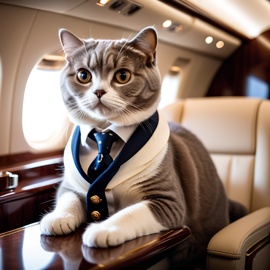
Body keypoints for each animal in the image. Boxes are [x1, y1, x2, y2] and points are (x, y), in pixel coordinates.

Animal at [39, 27, 247, 266]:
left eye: (122, 76)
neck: (105, 134)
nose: (98, 91)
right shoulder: (70, 185)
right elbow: (67, 199)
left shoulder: (168, 201)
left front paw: (103, 229)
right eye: (84, 75)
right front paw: (58, 218)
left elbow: (131, 213)